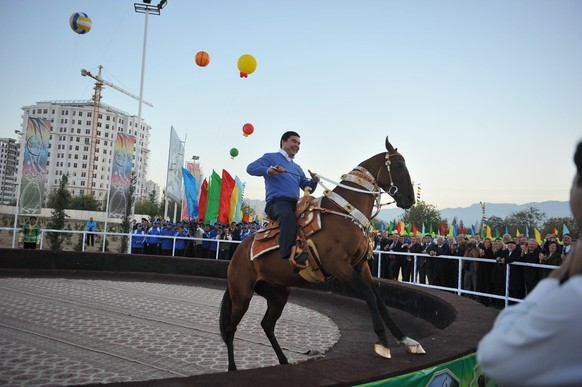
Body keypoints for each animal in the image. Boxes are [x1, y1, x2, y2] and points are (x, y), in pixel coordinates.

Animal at [221, 137, 426, 372]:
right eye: (399, 165)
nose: (410, 199)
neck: (345, 213)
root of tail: (239, 252)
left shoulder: (361, 265)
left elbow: (378, 298)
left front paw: (406, 340)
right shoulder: (339, 265)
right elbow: (368, 294)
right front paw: (382, 342)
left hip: (278, 292)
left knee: (267, 325)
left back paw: (283, 360)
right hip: (241, 295)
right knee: (230, 329)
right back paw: (232, 368)